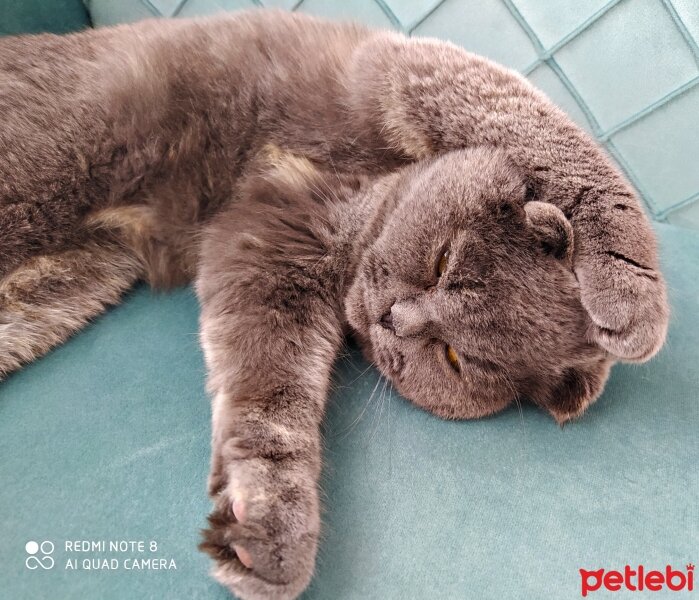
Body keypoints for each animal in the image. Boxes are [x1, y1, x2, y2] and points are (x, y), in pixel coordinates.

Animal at [0, 9, 668, 600]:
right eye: (443, 261)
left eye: (453, 357)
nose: (395, 319)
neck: (361, 202)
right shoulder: (408, 73)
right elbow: (562, 144)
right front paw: (636, 299)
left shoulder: (266, 255)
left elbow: (271, 394)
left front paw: (268, 524)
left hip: (63, 284)